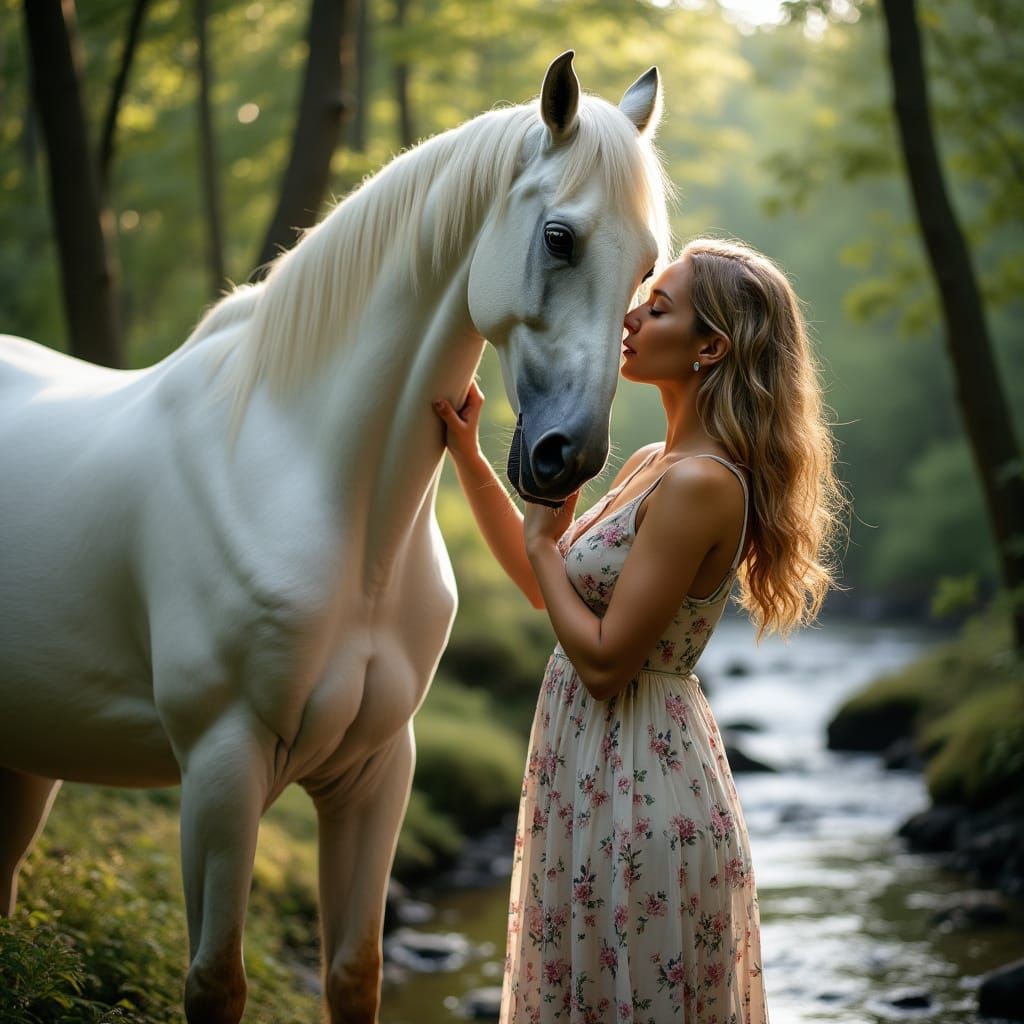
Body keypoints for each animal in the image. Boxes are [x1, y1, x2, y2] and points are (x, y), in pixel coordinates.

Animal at [0, 52, 669, 1023]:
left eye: (651, 268)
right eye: (559, 238)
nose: (567, 457)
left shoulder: (377, 771)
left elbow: (355, 972)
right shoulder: (220, 771)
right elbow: (216, 980)